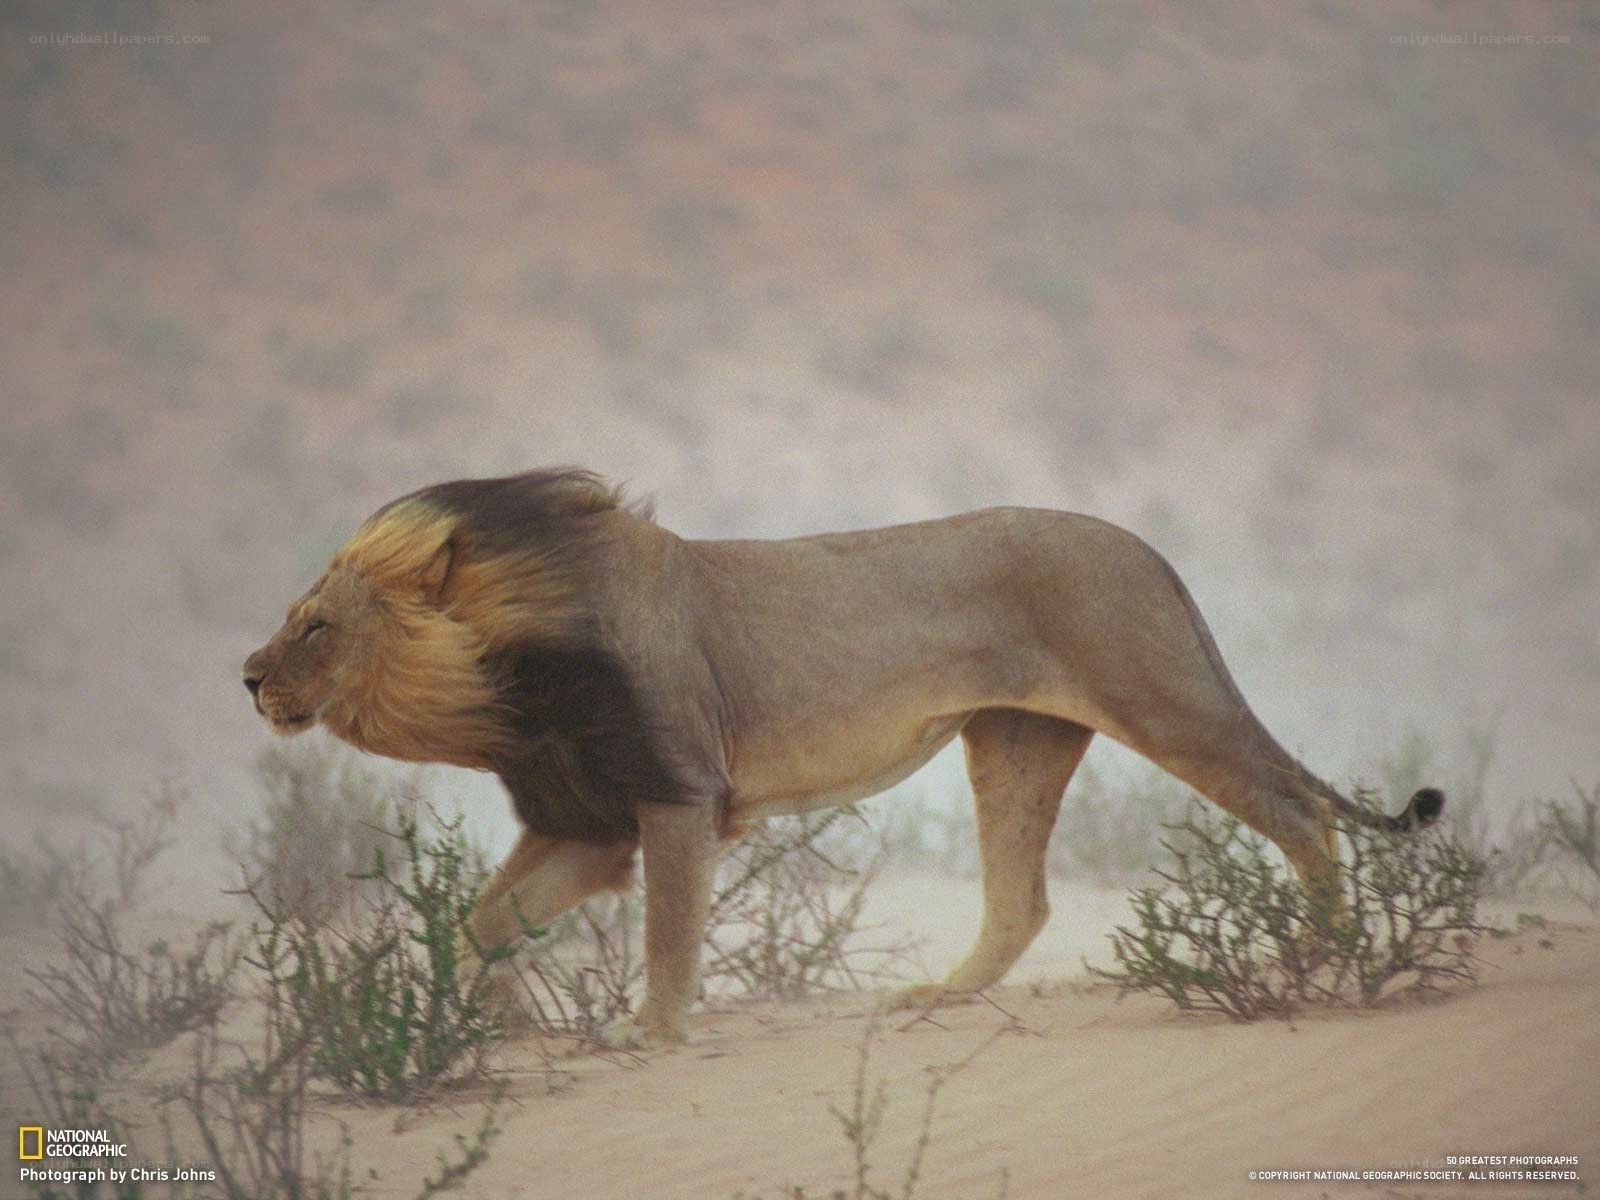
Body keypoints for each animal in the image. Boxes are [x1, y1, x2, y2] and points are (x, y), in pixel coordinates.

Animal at [242, 468, 1442, 1046]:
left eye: (317, 628)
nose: (246, 676)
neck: (506, 683)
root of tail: (1148, 549)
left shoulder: (676, 798)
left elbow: (668, 936)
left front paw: (647, 1034)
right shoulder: (586, 826)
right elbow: (484, 922)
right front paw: (492, 1026)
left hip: (1165, 698)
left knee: (1301, 812)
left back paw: (1313, 960)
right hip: (1015, 737)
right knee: (1023, 901)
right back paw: (940, 997)